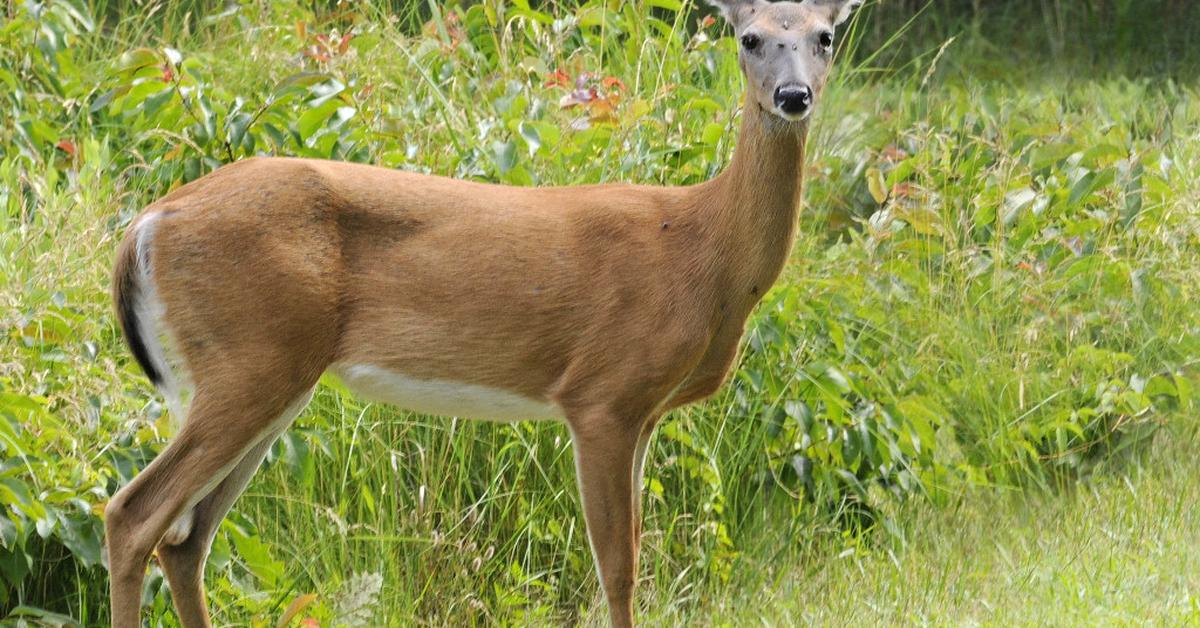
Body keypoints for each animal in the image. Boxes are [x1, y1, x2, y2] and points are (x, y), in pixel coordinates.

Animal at [105, 2, 864, 624]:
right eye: (750, 37)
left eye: (825, 36)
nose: (792, 96)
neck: (703, 252)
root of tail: (146, 222)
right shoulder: (601, 395)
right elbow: (618, 572)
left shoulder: (646, 411)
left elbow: (629, 559)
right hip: (250, 359)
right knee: (132, 515)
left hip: (273, 375)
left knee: (187, 540)